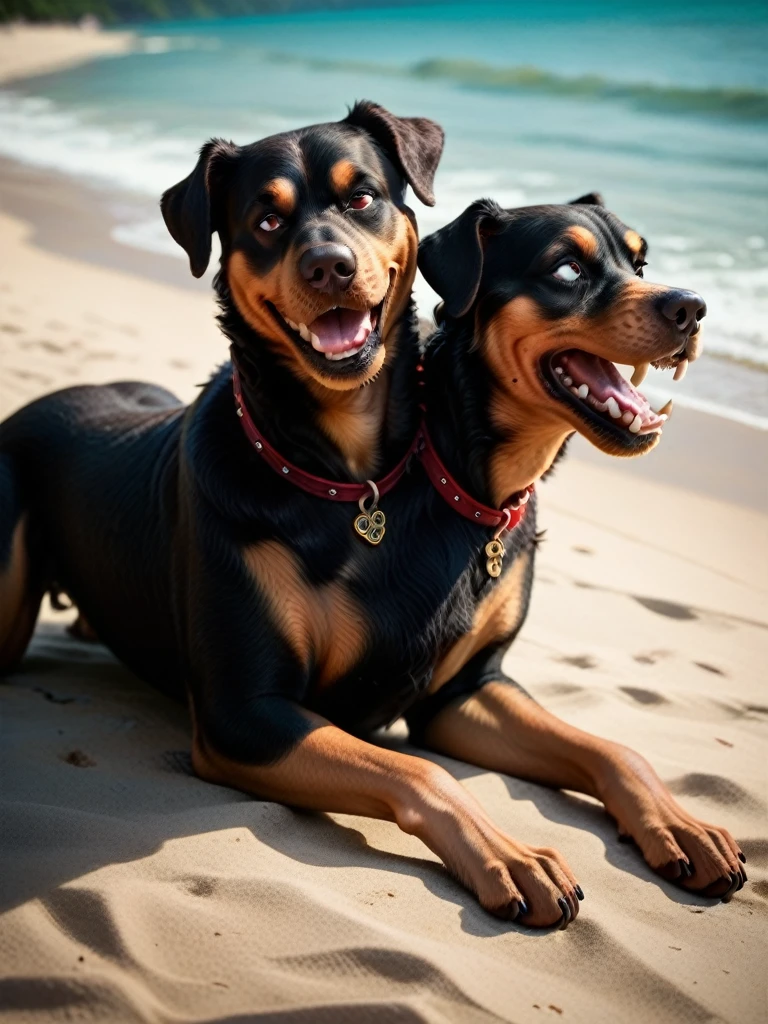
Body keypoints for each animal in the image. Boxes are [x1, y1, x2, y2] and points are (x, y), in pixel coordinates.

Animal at [0, 103, 745, 929]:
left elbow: (613, 748)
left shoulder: (465, 689)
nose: (691, 307)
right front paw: (513, 857)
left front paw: (681, 825)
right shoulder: (244, 715)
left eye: (362, 198)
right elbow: (420, 774)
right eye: (566, 271)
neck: (350, 480)